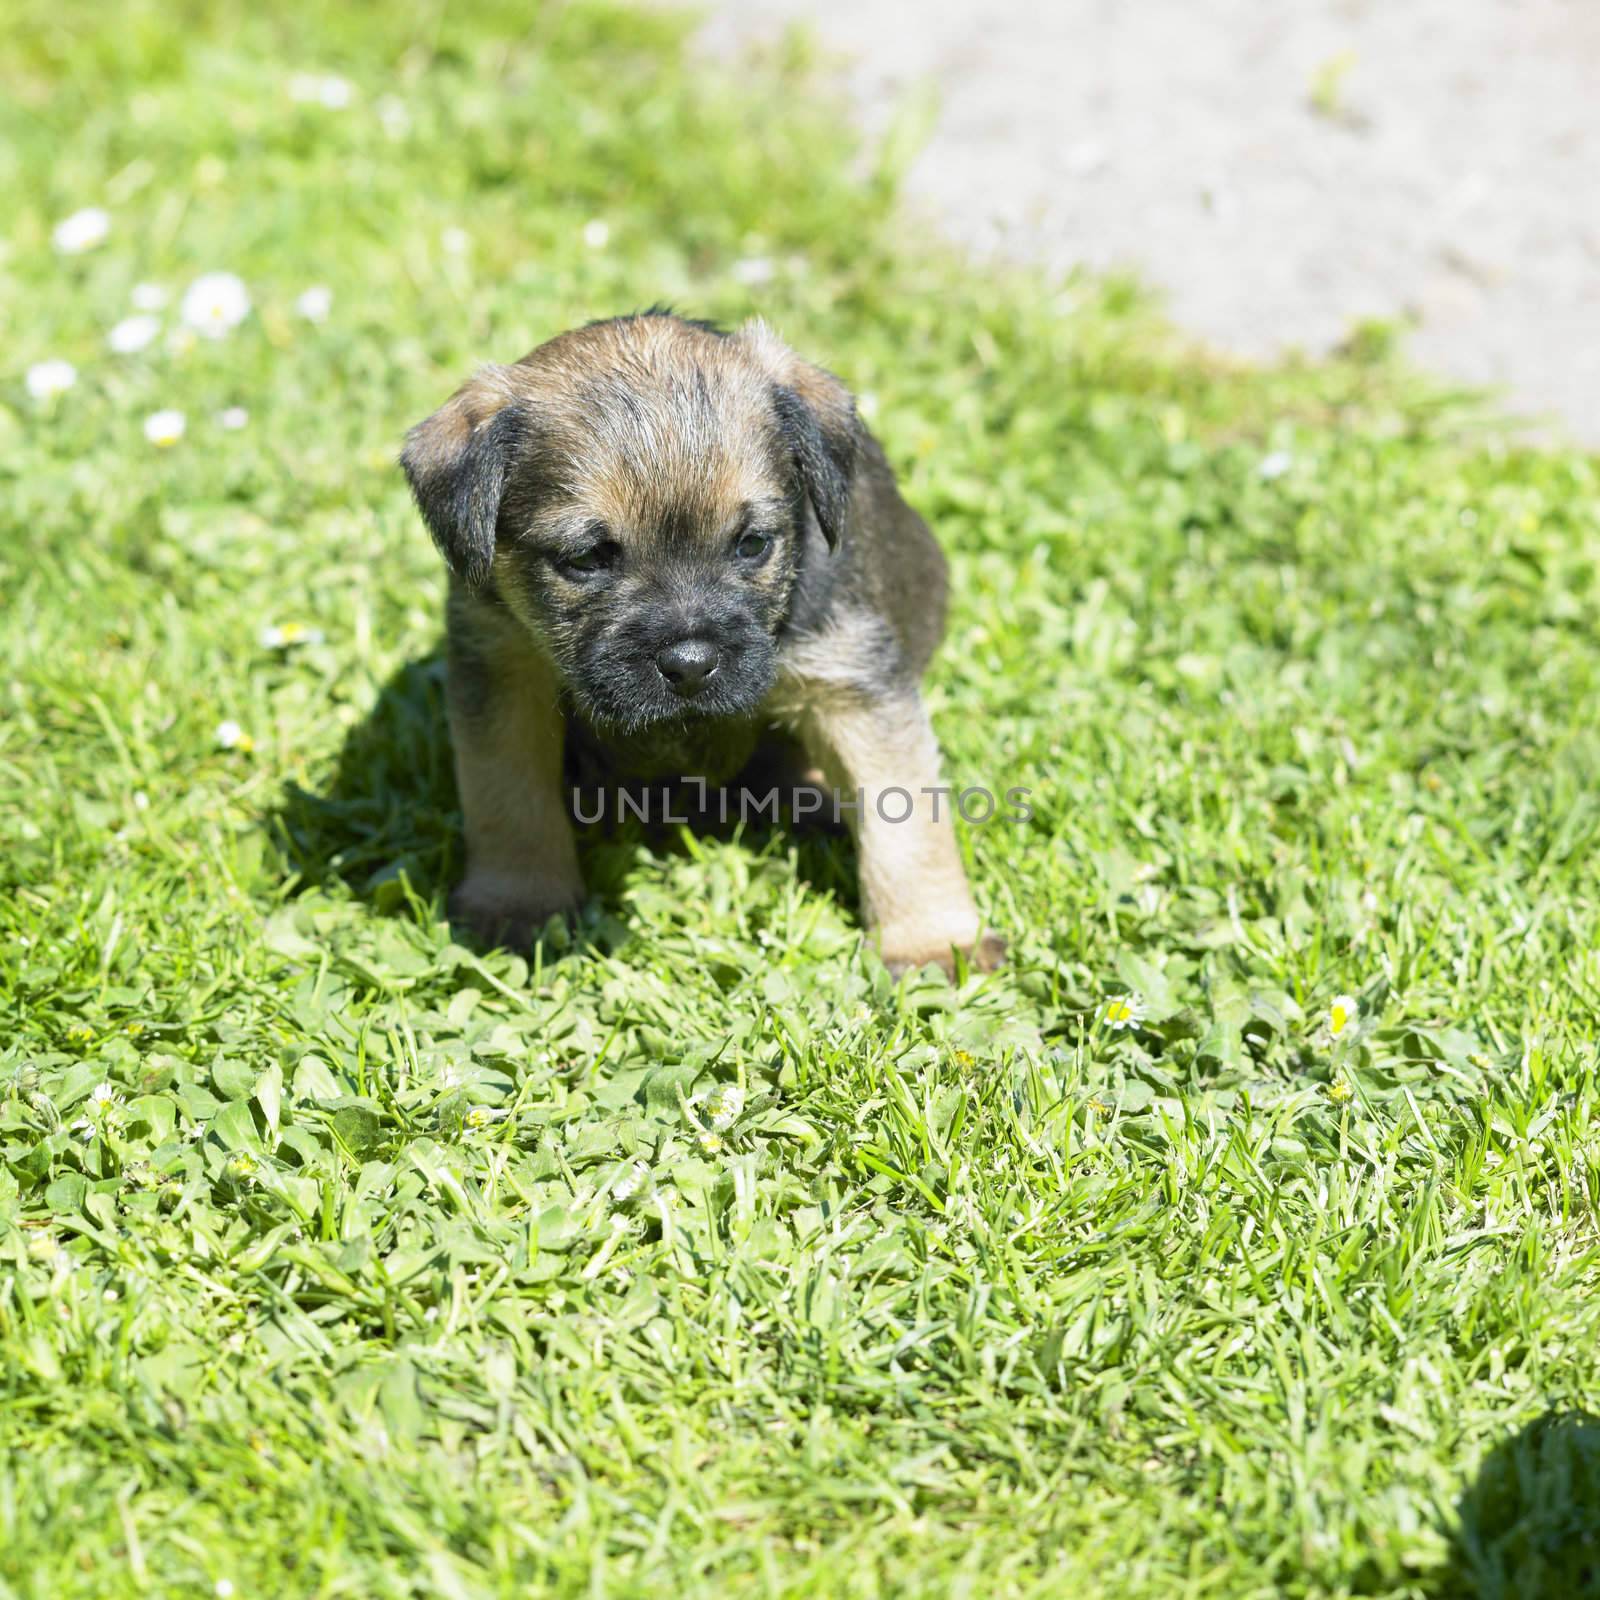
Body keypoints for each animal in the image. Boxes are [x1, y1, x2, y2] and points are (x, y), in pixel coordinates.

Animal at [400, 304, 998, 966]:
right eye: (587, 559)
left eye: (752, 544)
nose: (689, 664)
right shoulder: (503, 670)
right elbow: (507, 797)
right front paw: (520, 902)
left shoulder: (854, 685)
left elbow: (906, 820)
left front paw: (932, 944)